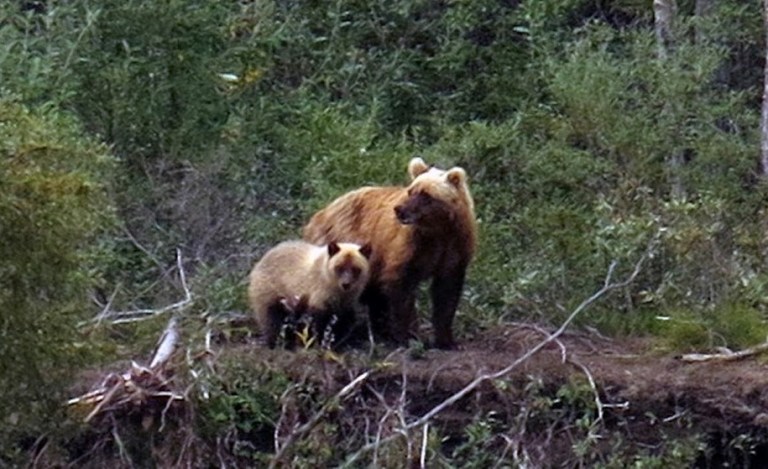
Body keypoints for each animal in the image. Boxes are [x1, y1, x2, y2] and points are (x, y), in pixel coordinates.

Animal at [303, 157, 477, 349]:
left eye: (426, 195)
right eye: (411, 190)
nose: (399, 209)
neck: (436, 231)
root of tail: (319, 214)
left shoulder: (454, 247)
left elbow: (447, 292)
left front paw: (446, 340)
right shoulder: (407, 248)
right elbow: (401, 288)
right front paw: (409, 336)